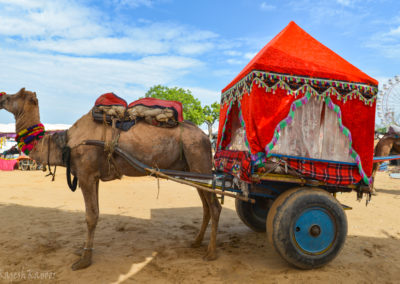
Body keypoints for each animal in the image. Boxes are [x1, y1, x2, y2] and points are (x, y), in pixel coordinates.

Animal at [0, 89, 222, 270]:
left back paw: (211, 253)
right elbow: (95, 213)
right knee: (206, 206)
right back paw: (196, 242)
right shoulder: (94, 176)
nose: (1, 97)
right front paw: (84, 251)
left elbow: (91, 216)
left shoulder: (86, 175)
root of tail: (205, 136)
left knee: (215, 206)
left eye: (15, 96)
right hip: (192, 168)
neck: (66, 142)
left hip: (199, 159)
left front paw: (84, 260)